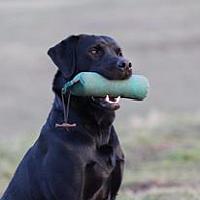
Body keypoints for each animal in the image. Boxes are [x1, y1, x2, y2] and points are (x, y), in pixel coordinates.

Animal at [1, 34, 133, 200]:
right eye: (94, 51)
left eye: (119, 52)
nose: (126, 64)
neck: (98, 130)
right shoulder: (69, 190)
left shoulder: (112, 192)